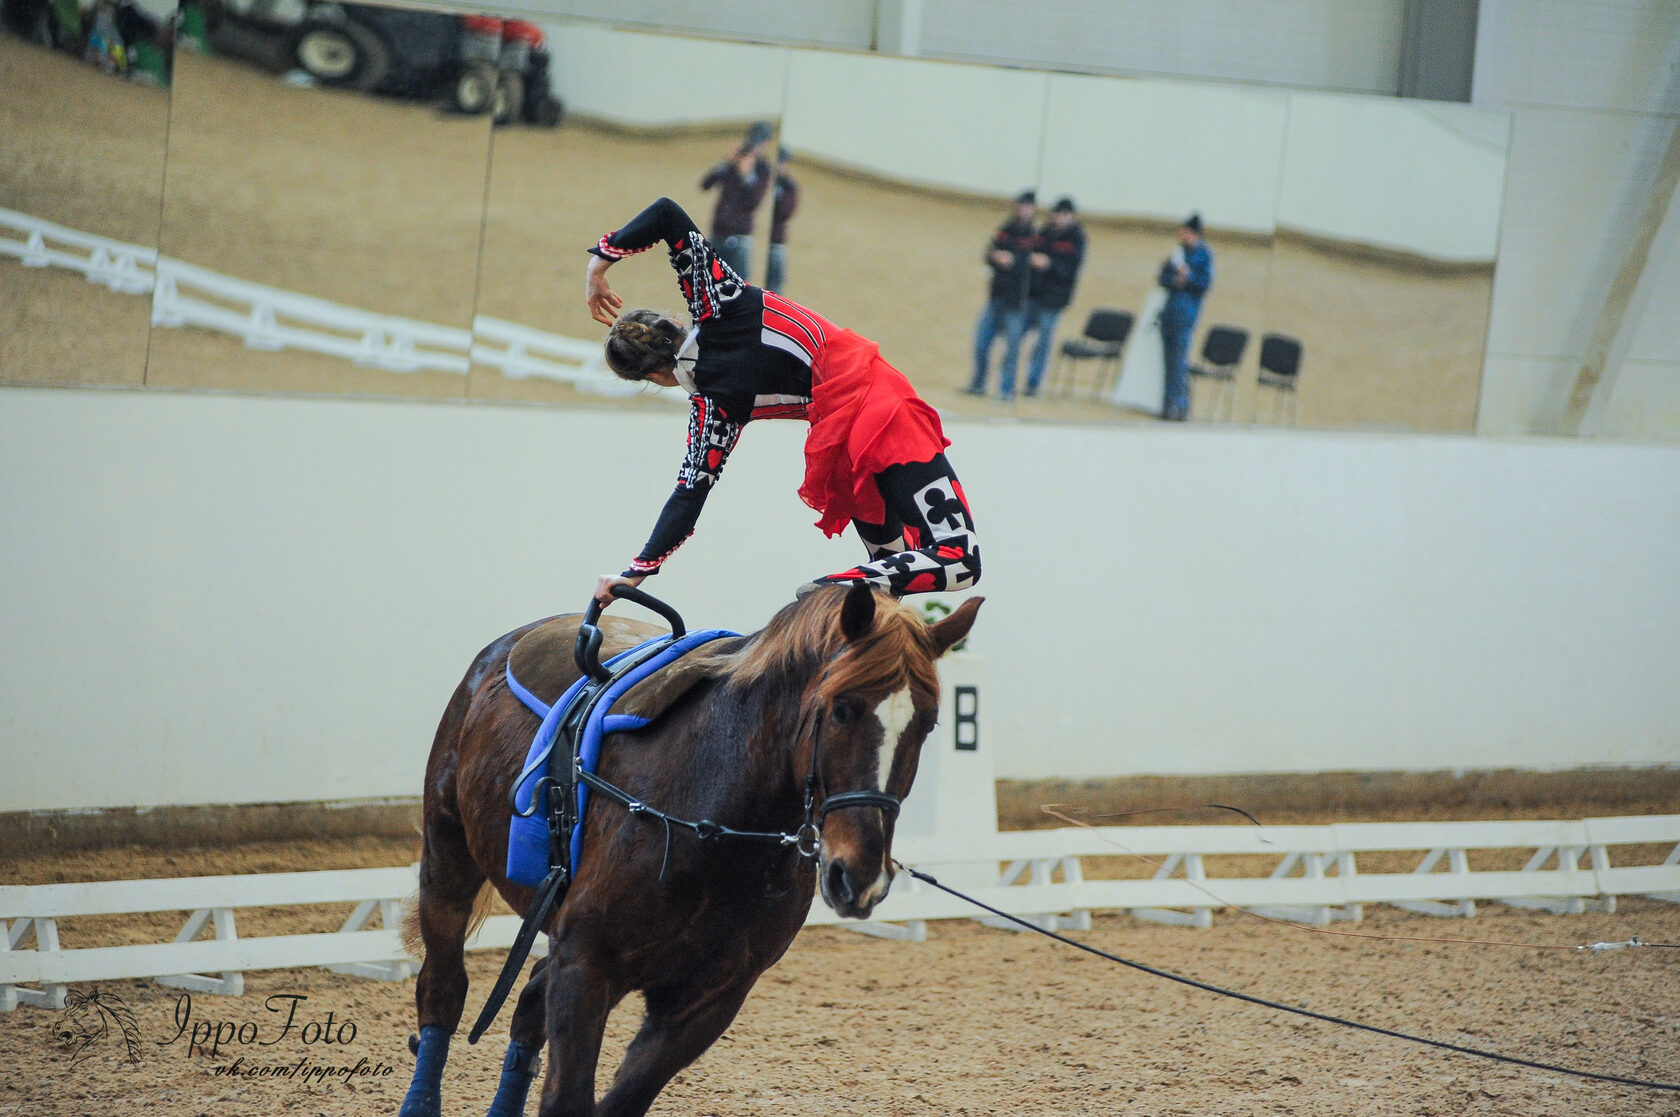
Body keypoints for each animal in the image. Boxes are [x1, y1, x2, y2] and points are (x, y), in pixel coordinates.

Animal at [403, 584, 981, 1115]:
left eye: (928, 722)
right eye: (840, 711)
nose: (859, 877)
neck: (716, 825)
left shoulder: (707, 1000)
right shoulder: (585, 965)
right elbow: (568, 1096)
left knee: (526, 1003)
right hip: (448, 858)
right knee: (444, 985)